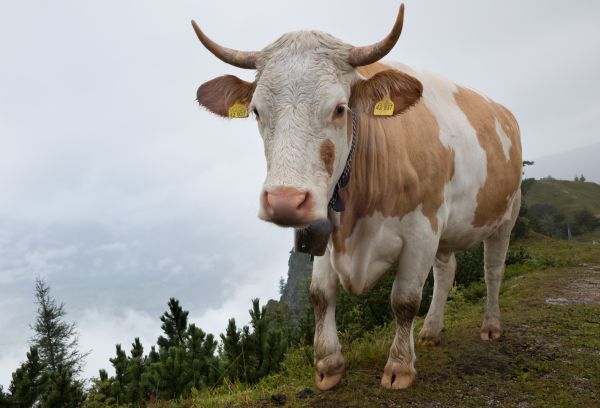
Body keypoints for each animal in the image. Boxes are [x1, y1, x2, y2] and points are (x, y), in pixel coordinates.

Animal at [192, 3, 520, 392]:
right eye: (256, 111)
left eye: (339, 108)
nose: (285, 200)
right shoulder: (323, 230)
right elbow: (320, 295)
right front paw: (328, 365)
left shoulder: (423, 229)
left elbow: (404, 299)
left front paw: (399, 367)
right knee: (446, 271)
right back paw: (431, 332)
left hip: (506, 214)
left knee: (493, 270)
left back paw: (491, 326)